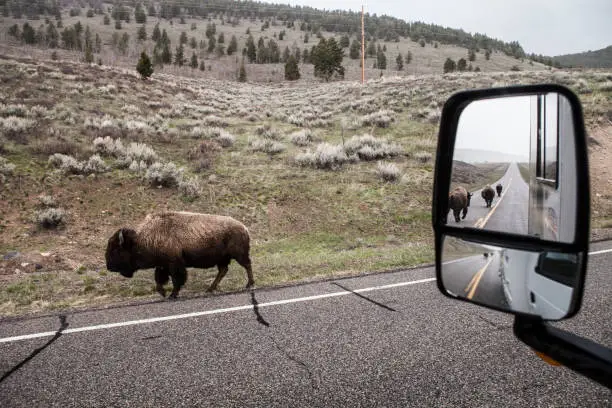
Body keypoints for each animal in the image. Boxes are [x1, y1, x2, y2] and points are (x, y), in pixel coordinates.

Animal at [105, 212, 253, 298]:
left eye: (116, 250)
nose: (108, 266)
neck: (141, 239)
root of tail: (244, 227)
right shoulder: (162, 265)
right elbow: (159, 279)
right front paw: (163, 293)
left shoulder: (174, 264)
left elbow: (176, 279)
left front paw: (172, 294)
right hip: (222, 259)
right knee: (223, 270)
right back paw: (209, 289)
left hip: (238, 255)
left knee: (247, 265)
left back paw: (249, 284)